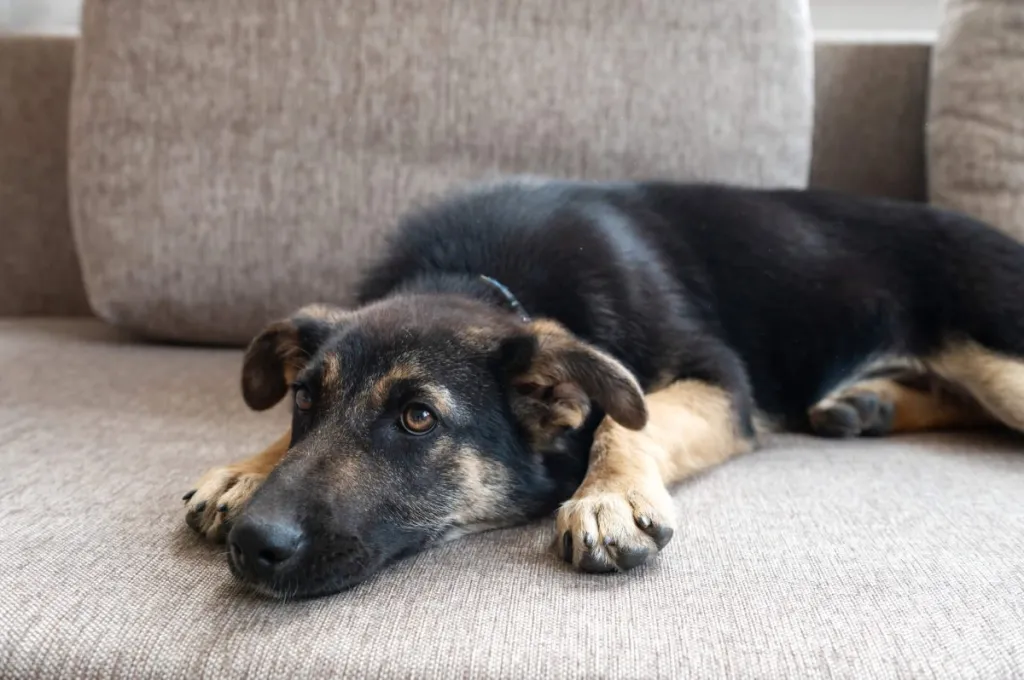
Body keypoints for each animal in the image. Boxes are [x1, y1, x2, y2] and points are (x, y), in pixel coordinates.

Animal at [184, 178, 1024, 598]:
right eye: (303, 400)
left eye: (418, 418)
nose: (254, 545)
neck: (479, 277)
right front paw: (246, 468)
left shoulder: (718, 378)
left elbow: (629, 419)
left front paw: (610, 495)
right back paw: (865, 403)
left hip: (998, 356)